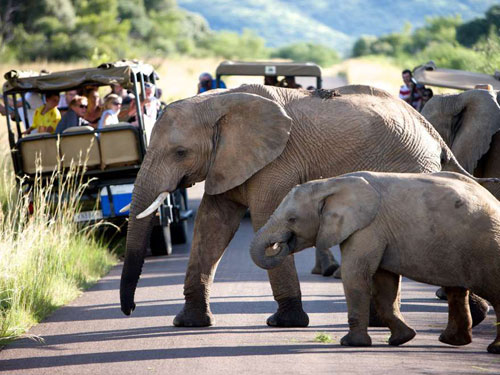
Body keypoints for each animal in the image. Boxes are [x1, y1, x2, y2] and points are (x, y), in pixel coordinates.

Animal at [120, 83, 484, 330]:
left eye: (180, 153)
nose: (130, 310)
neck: (220, 102)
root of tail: (432, 132)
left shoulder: (276, 163)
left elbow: (264, 219)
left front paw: (285, 322)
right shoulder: (224, 162)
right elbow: (212, 227)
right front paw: (188, 322)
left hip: (410, 167)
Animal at [250, 172, 500, 354]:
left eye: (292, 219)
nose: (280, 244)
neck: (330, 184)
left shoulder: (368, 228)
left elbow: (355, 275)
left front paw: (350, 344)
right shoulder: (378, 232)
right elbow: (384, 282)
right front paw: (402, 339)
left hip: (487, 248)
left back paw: (492, 349)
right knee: (456, 291)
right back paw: (452, 341)